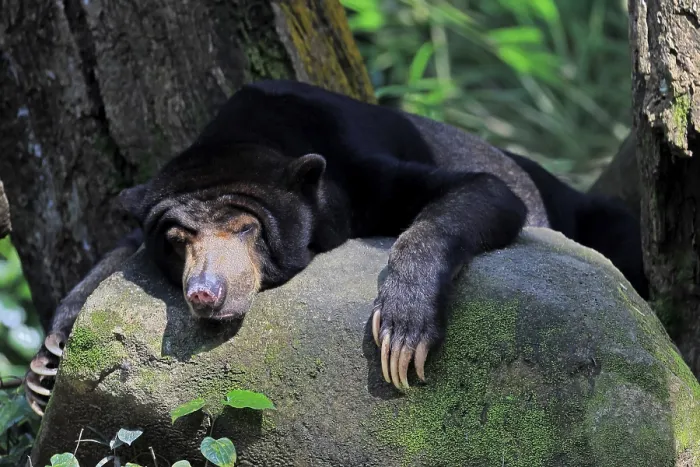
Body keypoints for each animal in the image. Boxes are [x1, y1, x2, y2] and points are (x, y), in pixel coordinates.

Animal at [23, 79, 647, 416]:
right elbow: (115, 253)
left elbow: (477, 191)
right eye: (178, 240)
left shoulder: (355, 169)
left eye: (246, 229)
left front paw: (401, 333)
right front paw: (45, 370)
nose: (205, 294)